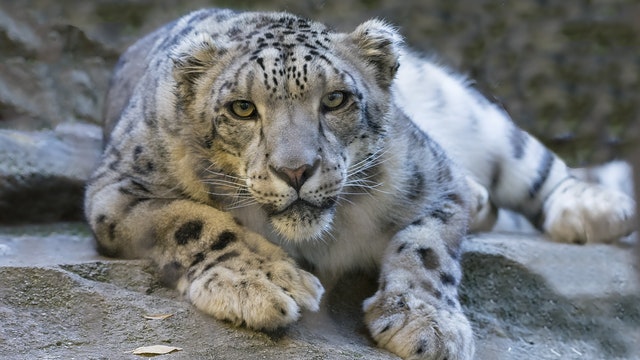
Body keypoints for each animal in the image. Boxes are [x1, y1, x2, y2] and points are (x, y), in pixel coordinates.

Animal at [84, 9, 636, 360]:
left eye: (335, 100)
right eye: (241, 108)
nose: (296, 169)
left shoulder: (437, 177)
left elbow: (427, 247)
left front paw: (424, 323)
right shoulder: (118, 190)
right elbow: (193, 221)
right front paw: (263, 283)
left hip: (472, 114)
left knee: (534, 163)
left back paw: (596, 209)